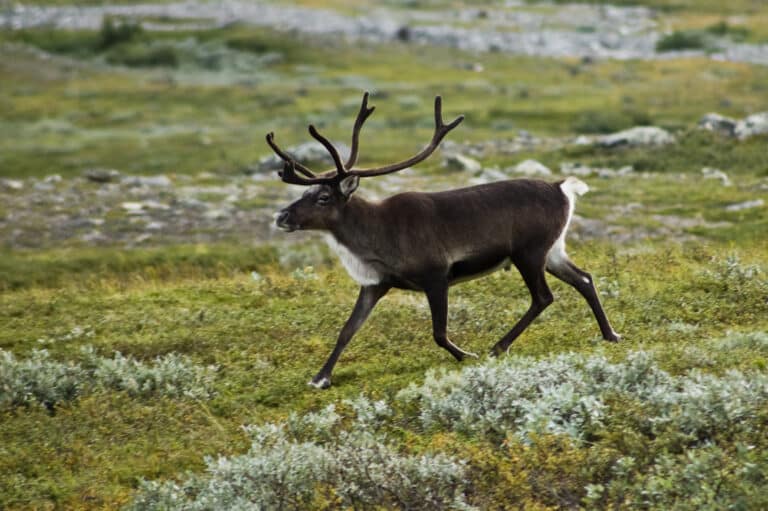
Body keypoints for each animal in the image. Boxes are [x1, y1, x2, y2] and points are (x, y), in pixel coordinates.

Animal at [268, 92, 621, 389]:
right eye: (306, 193)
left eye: (324, 197)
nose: (281, 216)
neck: (374, 236)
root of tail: (562, 188)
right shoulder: (376, 283)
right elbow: (346, 330)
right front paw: (320, 377)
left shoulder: (436, 275)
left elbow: (438, 332)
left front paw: (467, 355)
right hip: (552, 251)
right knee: (584, 279)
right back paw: (610, 334)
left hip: (529, 252)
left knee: (543, 297)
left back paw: (498, 346)